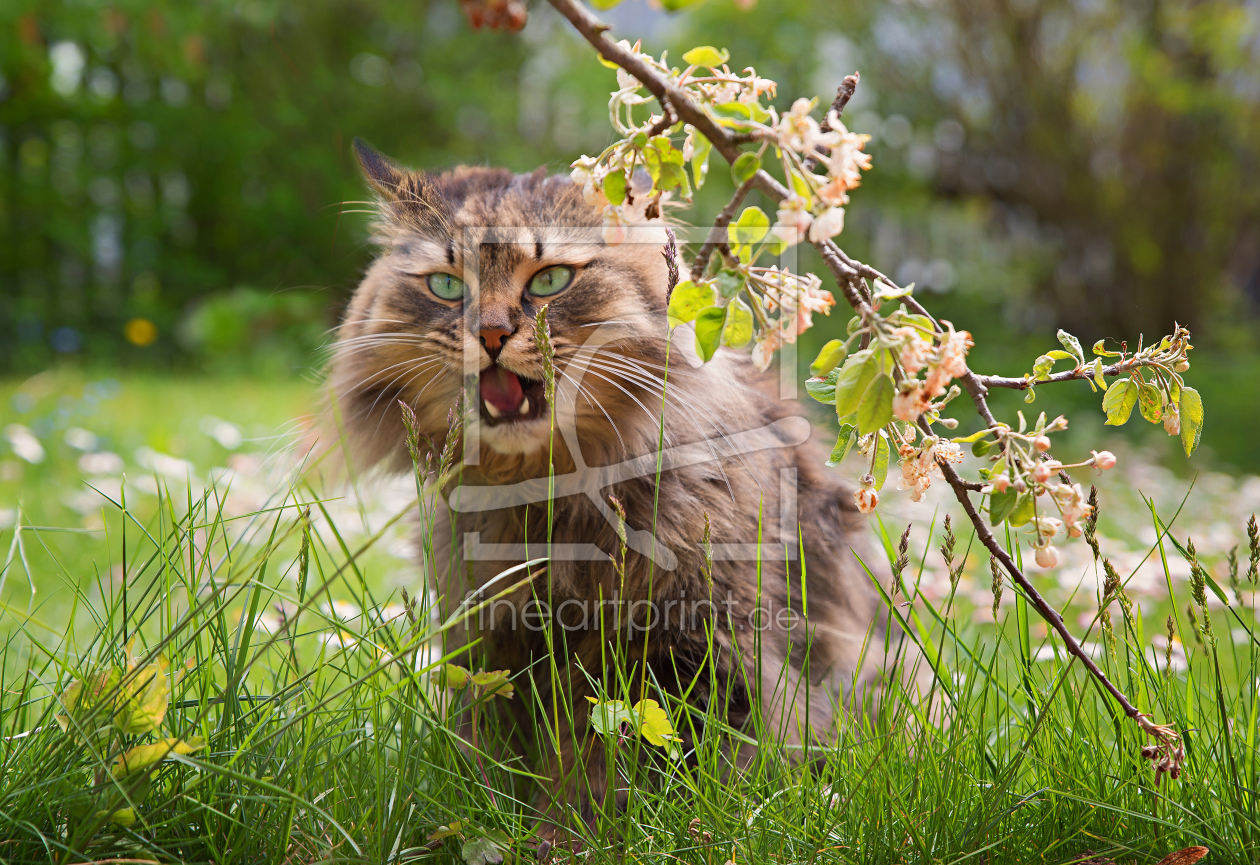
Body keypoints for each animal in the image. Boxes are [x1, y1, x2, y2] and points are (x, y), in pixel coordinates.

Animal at [330, 140, 892, 846]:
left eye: (549, 281)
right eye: (447, 287)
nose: (490, 335)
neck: (544, 498)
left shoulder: (687, 647)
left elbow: (614, 766)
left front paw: (567, 838)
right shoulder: (493, 645)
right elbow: (494, 763)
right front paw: (501, 830)